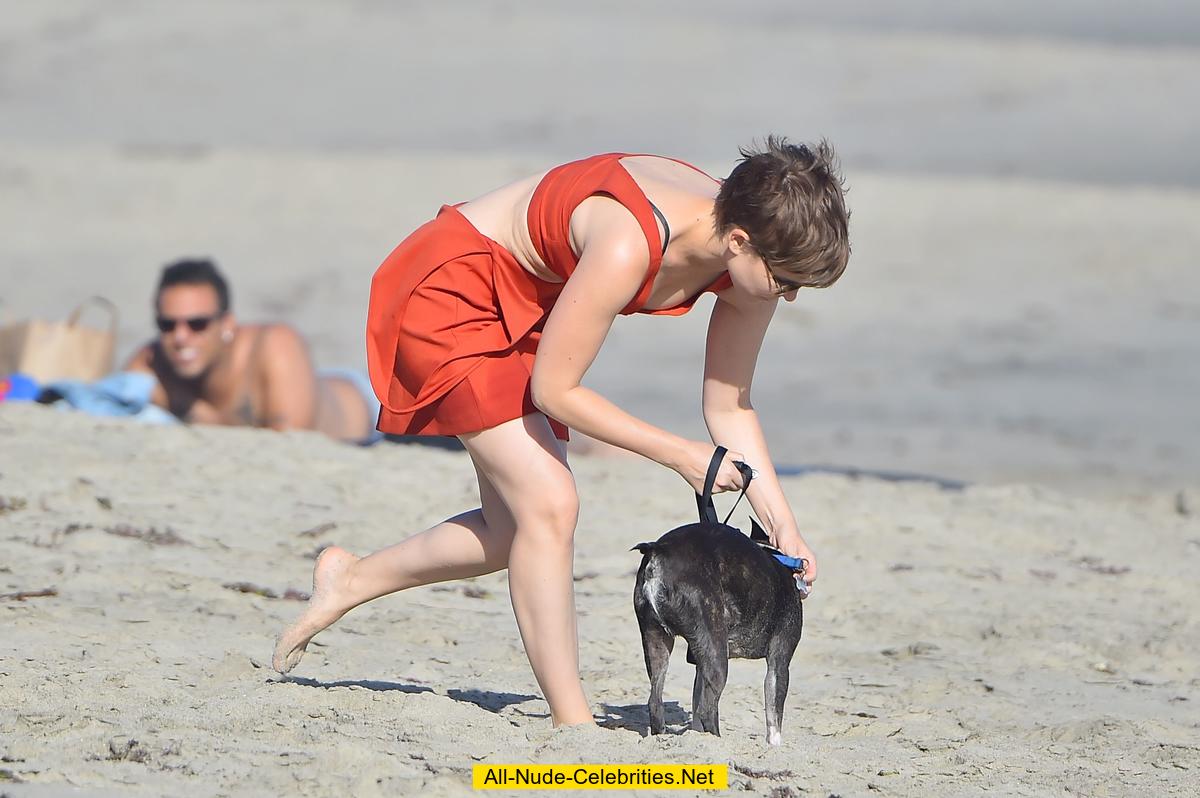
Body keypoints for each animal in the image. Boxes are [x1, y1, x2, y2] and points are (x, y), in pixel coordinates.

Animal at [628, 444, 806, 744]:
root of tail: (658, 551)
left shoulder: (698, 660)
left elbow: (696, 700)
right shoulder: (779, 659)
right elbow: (774, 716)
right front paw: (775, 747)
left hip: (656, 638)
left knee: (656, 699)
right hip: (715, 652)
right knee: (709, 708)